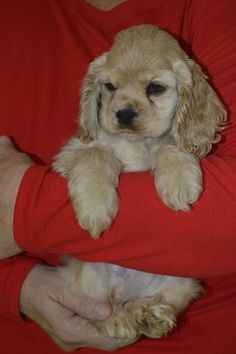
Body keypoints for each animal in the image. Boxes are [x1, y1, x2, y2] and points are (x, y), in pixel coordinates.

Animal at [54, 24, 227, 238]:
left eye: (155, 87)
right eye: (109, 86)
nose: (124, 114)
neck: (136, 142)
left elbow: (170, 144)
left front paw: (179, 181)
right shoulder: (69, 152)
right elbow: (94, 153)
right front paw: (94, 206)